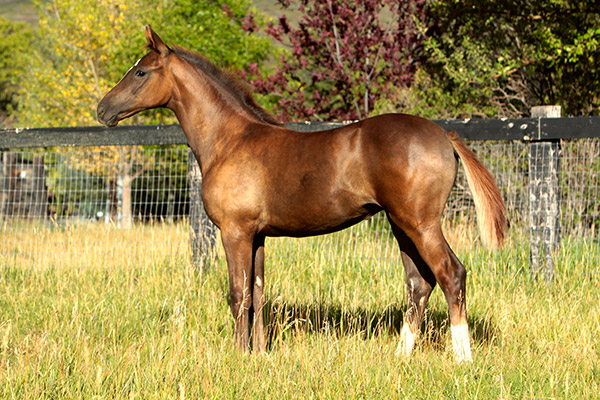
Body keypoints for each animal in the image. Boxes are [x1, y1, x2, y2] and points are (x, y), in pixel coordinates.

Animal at [97, 25, 506, 362]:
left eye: (141, 71)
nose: (103, 109)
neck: (229, 140)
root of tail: (444, 135)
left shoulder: (234, 232)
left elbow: (238, 294)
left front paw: (237, 357)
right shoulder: (258, 236)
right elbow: (258, 293)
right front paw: (258, 354)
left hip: (421, 223)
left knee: (451, 273)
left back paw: (463, 358)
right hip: (400, 225)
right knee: (419, 282)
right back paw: (400, 356)